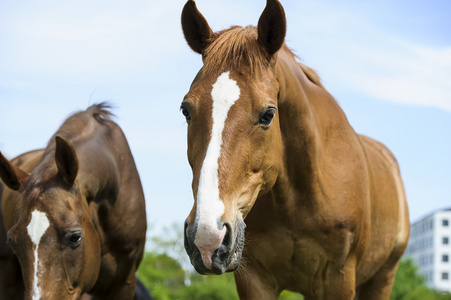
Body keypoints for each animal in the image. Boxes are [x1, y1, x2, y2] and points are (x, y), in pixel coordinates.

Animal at [182, 1, 412, 298]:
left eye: (268, 114)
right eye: (186, 110)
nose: (207, 238)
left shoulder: (339, 279)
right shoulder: (255, 280)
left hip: (382, 277)